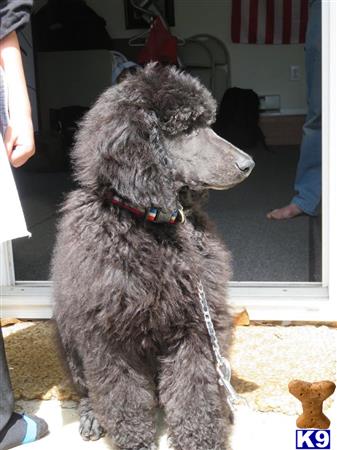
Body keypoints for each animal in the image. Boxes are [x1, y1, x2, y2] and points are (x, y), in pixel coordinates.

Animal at [51, 64, 253, 450]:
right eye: (186, 127)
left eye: (208, 122)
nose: (247, 164)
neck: (154, 221)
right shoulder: (108, 335)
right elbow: (123, 399)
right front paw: (136, 442)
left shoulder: (196, 325)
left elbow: (195, 393)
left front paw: (200, 439)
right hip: (70, 337)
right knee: (88, 390)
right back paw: (90, 415)